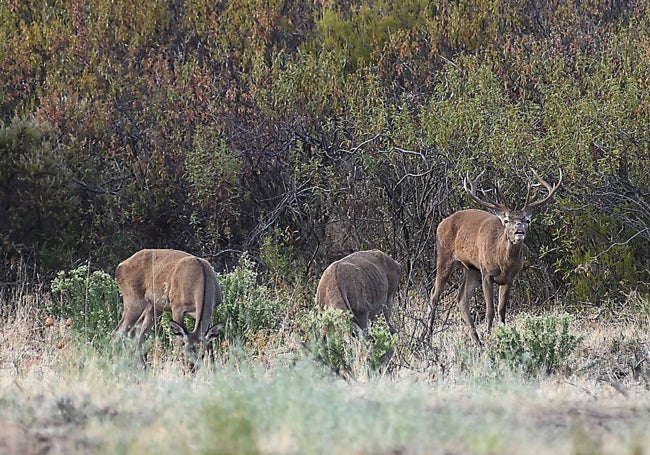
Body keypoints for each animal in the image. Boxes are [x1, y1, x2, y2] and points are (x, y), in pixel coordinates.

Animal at [428, 171, 560, 346]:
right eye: (506, 220)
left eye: (527, 220)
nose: (519, 229)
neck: (502, 262)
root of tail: (441, 223)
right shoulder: (487, 274)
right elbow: (490, 310)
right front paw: (489, 335)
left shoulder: (510, 278)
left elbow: (501, 310)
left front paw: (505, 336)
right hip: (445, 257)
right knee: (434, 295)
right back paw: (427, 337)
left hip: (472, 269)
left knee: (461, 298)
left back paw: (476, 340)